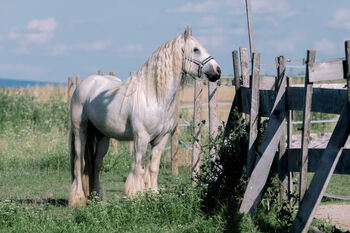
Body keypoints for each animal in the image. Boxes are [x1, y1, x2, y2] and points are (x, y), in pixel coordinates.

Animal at [69, 27, 221, 206]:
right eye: (196, 49)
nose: (217, 70)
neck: (154, 97)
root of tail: (85, 84)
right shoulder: (141, 138)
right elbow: (139, 168)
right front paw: (135, 196)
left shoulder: (161, 139)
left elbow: (153, 169)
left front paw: (153, 196)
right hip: (81, 131)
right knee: (79, 162)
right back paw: (77, 199)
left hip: (102, 137)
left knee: (96, 164)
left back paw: (94, 197)